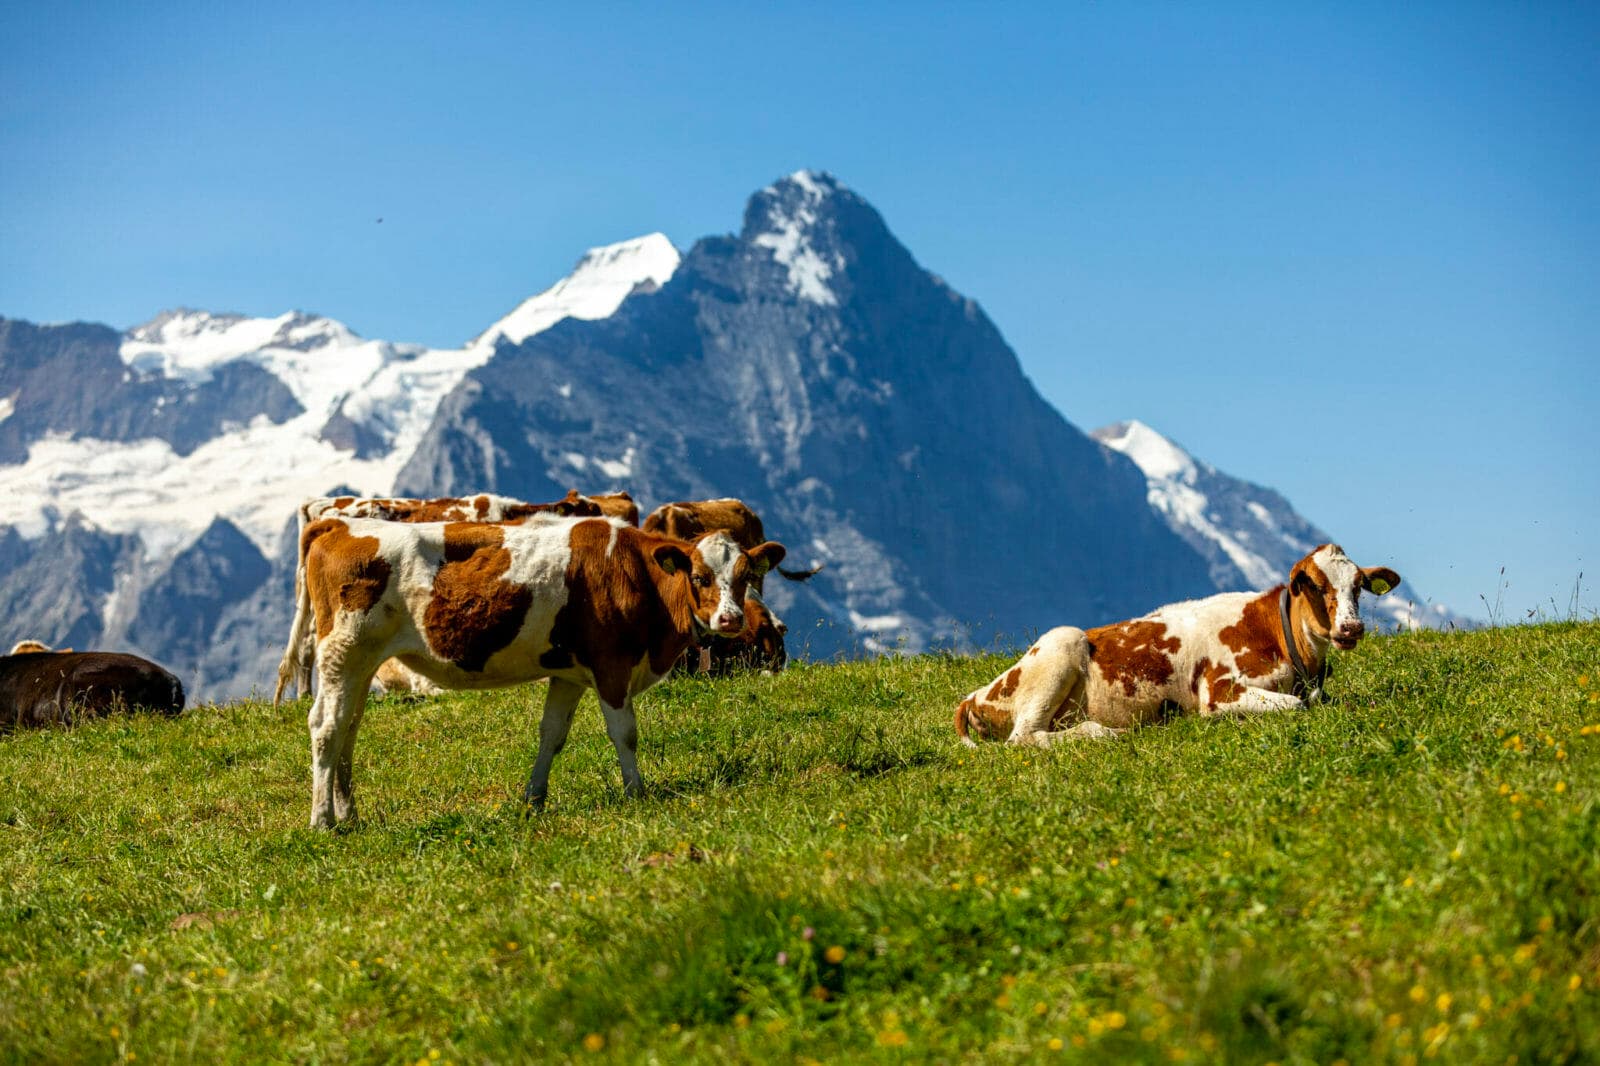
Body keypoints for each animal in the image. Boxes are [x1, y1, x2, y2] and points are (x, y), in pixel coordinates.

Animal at [291, 512, 790, 825]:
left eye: (745, 577)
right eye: (700, 577)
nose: (730, 619)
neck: (635, 573)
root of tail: (338, 524)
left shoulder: (568, 673)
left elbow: (552, 734)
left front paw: (533, 799)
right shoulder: (611, 664)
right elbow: (625, 733)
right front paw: (637, 792)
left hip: (361, 664)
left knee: (349, 727)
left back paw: (349, 815)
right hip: (344, 651)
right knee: (327, 727)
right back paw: (321, 821)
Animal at [947, 544, 1401, 742]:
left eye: (1358, 586)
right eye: (1315, 586)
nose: (1351, 628)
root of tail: (975, 694)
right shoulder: (1218, 690)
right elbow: (1294, 705)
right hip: (1063, 642)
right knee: (1025, 736)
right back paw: (1101, 732)